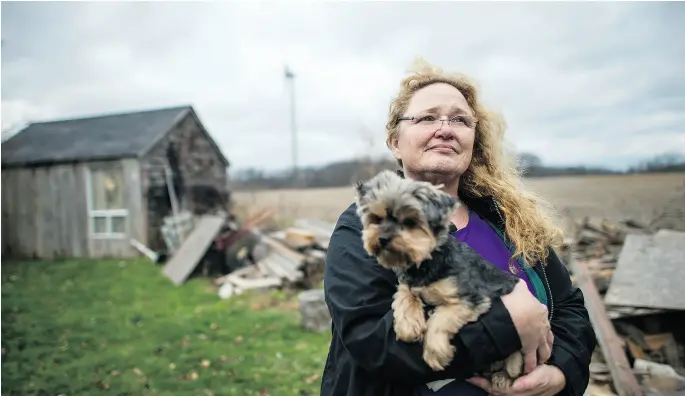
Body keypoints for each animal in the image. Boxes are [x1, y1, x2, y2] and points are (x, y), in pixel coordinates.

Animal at [356, 170, 520, 390]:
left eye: (410, 222)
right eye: (377, 218)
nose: (381, 239)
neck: (427, 261)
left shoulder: (471, 297)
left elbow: (440, 319)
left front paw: (436, 352)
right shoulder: (410, 282)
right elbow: (404, 295)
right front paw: (408, 325)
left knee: (516, 370)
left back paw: (502, 378)